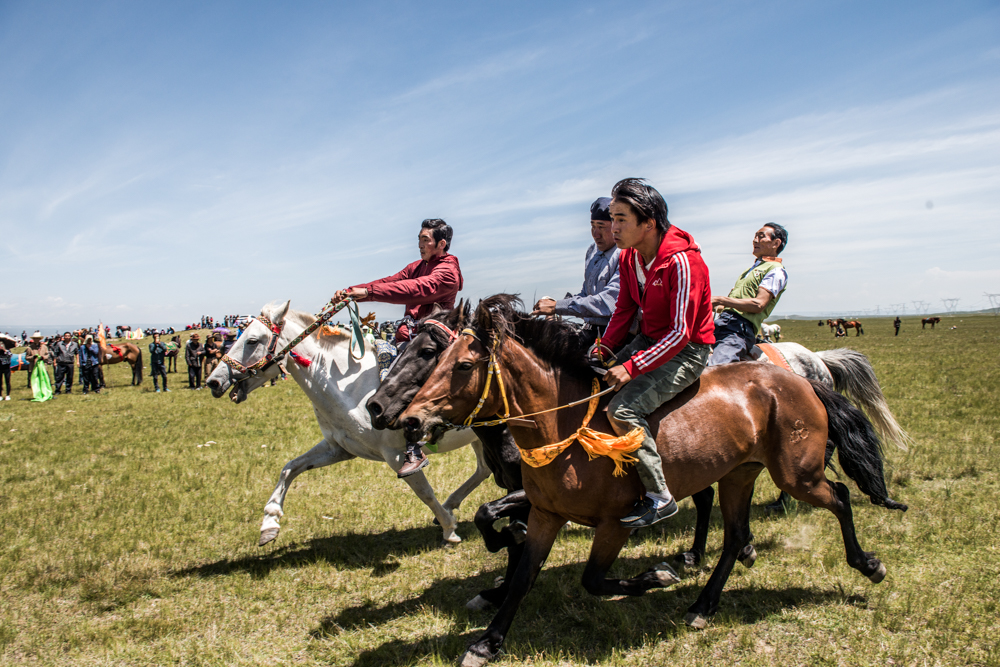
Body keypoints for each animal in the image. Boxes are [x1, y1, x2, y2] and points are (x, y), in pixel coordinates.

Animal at [398, 298, 908, 667]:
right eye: (436, 358)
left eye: (461, 365)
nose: (407, 419)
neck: (566, 428)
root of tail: (800, 378)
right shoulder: (545, 514)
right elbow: (523, 574)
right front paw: (487, 642)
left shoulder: (615, 525)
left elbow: (593, 580)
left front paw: (656, 576)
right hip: (739, 475)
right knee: (736, 535)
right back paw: (703, 605)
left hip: (798, 473)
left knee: (840, 496)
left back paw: (867, 564)